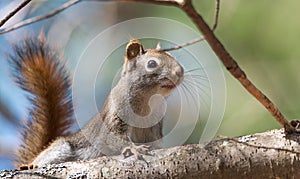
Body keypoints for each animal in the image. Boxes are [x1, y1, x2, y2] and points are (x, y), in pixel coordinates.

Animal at [10, 34, 184, 169]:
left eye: (174, 57)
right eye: (152, 63)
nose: (180, 72)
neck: (147, 100)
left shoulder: (154, 128)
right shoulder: (115, 117)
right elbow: (113, 138)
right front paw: (134, 149)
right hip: (62, 148)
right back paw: (30, 165)